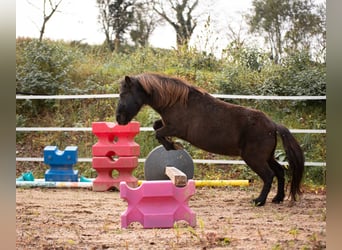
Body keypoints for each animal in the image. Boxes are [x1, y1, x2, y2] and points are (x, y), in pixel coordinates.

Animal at [115, 72, 304, 205]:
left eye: (123, 94)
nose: (119, 119)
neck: (176, 101)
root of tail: (273, 125)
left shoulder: (176, 128)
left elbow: (158, 132)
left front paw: (172, 146)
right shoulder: (167, 125)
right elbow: (156, 126)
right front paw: (172, 145)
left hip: (254, 158)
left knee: (269, 175)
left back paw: (259, 201)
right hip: (267, 157)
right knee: (280, 172)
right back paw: (277, 198)